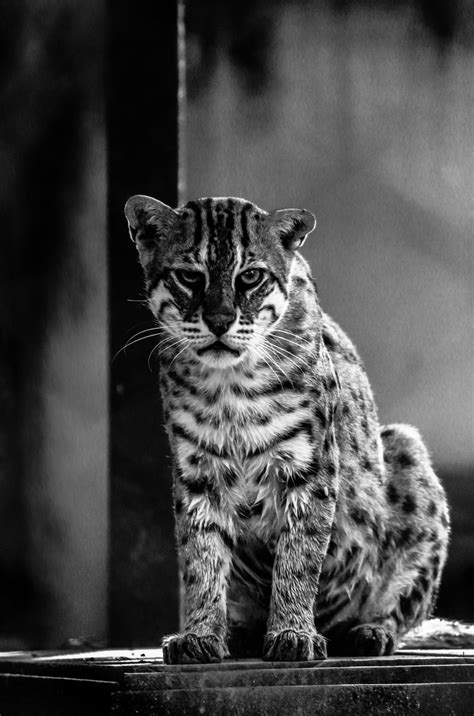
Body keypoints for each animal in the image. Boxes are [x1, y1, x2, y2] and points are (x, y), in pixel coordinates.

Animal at [124, 193, 450, 664]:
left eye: (251, 276)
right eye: (189, 276)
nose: (219, 321)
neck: (230, 384)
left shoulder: (308, 467)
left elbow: (299, 555)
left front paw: (293, 632)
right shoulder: (196, 471)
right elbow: (200, 556)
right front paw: (200, 633)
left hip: (406, 450)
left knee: (406, 604)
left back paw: (368, 632)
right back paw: (240, 631)